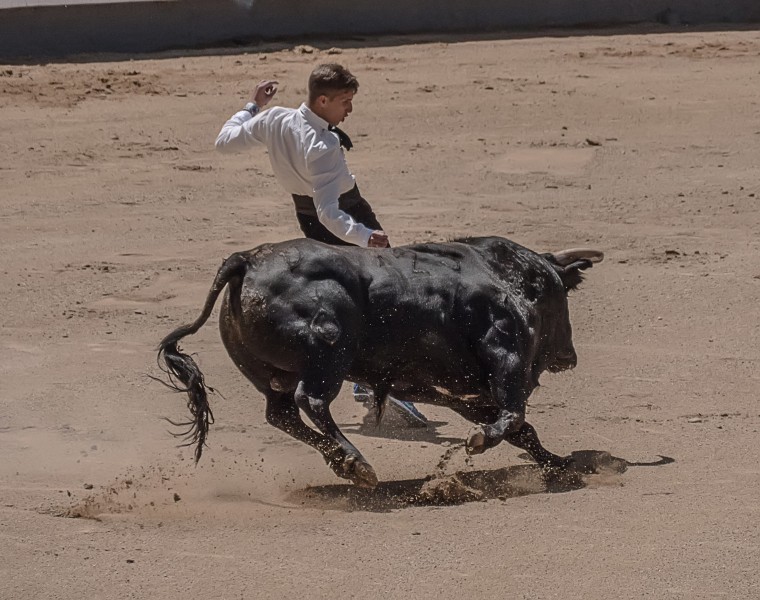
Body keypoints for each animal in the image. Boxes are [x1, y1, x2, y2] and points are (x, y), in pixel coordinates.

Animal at [157, 234, 604, 488]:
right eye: (563, 296)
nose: (569, 356)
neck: (508, 278)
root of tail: (247, 259)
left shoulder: (448, 389)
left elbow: (521, 429)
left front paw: (560, 465)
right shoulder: (506, 360)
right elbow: (513, 417)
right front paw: (479, 442)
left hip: (271, 377)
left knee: (281, 414)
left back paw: (342, 463)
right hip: (329, 356)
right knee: (311, 401)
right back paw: (355, 462)